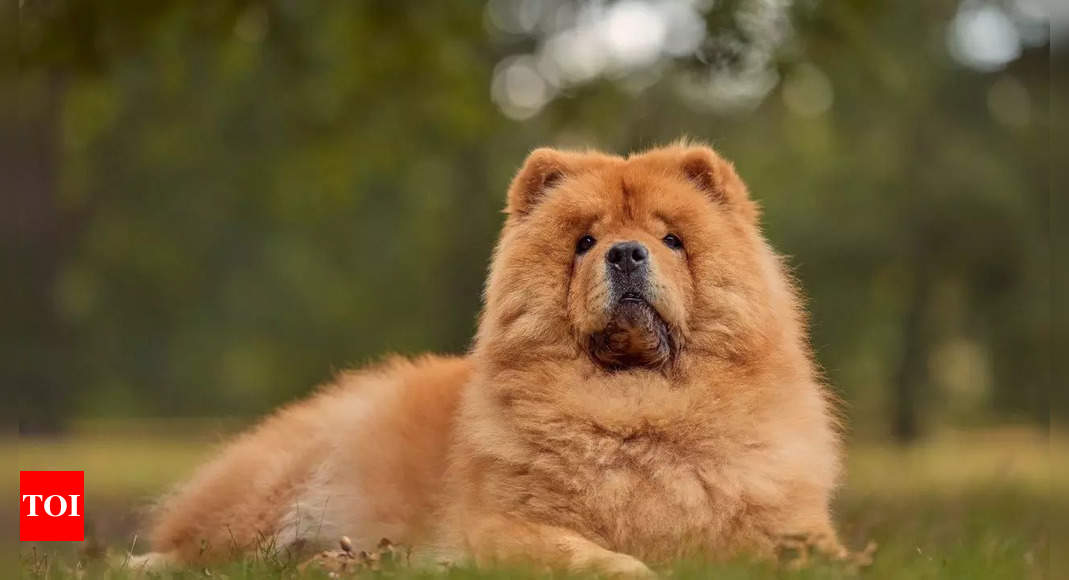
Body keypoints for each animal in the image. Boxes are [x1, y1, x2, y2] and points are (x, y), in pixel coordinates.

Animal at [135, 144, 842, 576]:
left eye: (672, 240)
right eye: (585, 242)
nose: (625, 253)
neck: (638, 409)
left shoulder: (786, 520)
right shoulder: (507, 527)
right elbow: (590, 556)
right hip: (264, 495)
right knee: (195, 548)